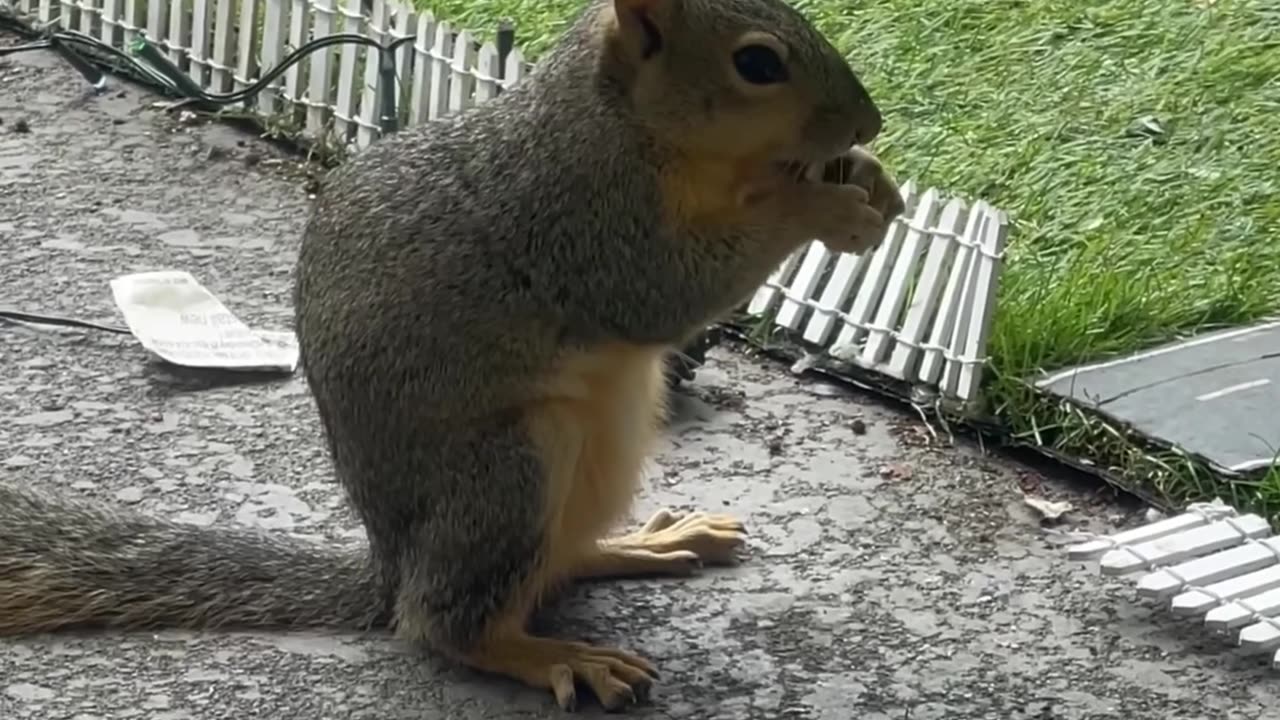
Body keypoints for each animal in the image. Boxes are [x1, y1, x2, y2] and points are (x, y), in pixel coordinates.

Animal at [0, 0, 906, 707]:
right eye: (757, 63)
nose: (870, 122)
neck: (621, 118)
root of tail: (390, 563)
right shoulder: (582, 216)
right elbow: (665, 292)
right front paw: (824, 207)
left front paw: (872, 177)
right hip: (509, 469)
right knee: (445, 621)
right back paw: (547, 655)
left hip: (610, 440)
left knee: (555, 566)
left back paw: (639, 544)